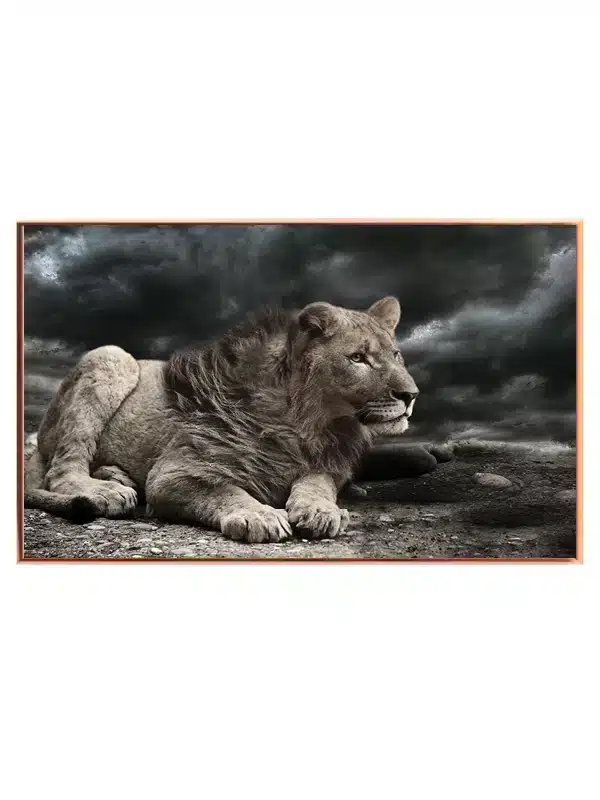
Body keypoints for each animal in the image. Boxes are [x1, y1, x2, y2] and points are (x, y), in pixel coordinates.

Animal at [24, 296, 430, 542]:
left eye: (396, 355)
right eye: (358, 358)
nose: (411, 396)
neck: (309, 424)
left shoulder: (323, 460)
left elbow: (319, 481)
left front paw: (320, 509)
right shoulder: (171, 474)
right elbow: (223, 489)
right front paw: (259, 516)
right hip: (111, 358)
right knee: (60, 471)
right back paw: (105, 490)